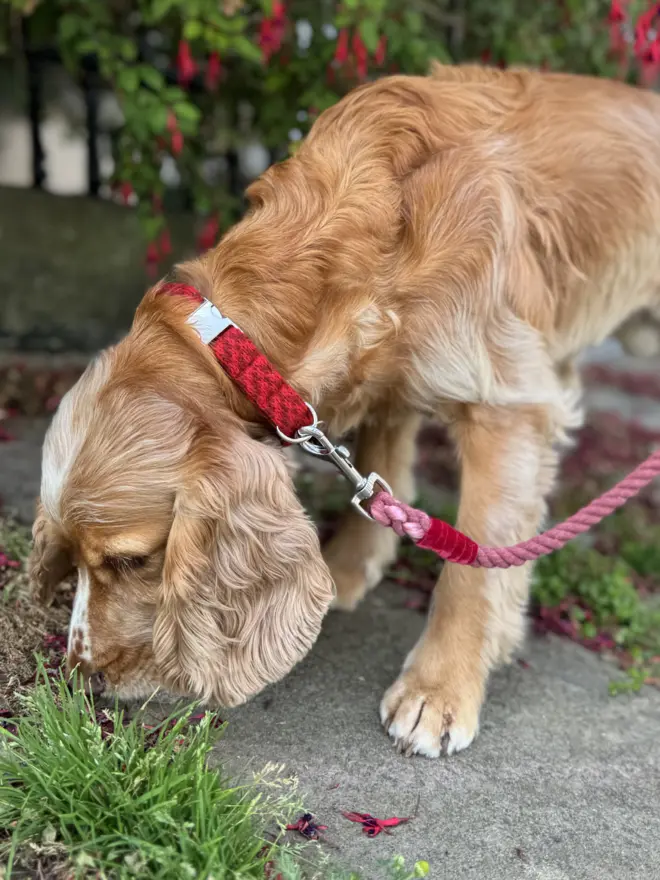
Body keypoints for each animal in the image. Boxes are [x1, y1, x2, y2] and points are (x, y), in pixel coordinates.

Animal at [29, 63, 660, 756]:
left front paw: (439, 688)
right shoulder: (390, 373)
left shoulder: (506, 405)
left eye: (132, 560)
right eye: (74, 557)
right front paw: (351, 568)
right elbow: (382, 474)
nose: (80, 677)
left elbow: (472, 566)